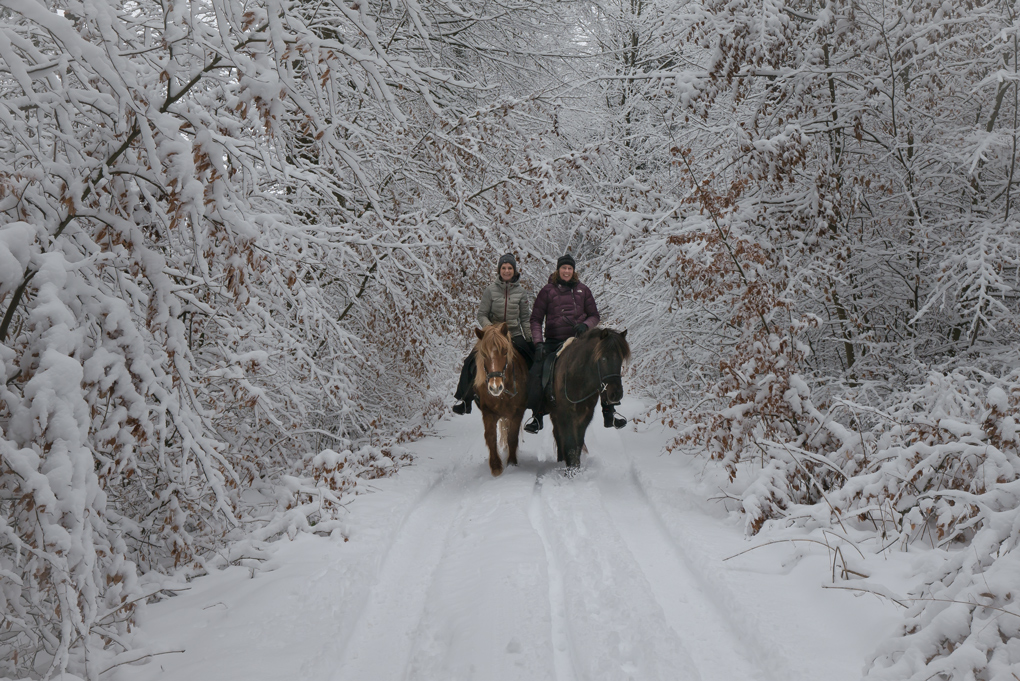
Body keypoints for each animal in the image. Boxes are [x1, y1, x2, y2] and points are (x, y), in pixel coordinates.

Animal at [473, 324, 530, 473]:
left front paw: (511, 462)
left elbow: (512, 437)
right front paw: (496, 466)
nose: (495, 387)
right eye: (484, 354)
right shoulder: (488, 412)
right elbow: (490, 436)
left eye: (505, 352)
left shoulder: (517, 412)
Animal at [550, 328, 628, 468]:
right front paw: (571, 470)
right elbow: (570, 444)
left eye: (620, 358)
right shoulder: (564, 415)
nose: (617, 394)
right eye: (603, 358)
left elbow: (578, 444)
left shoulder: (585, 416)